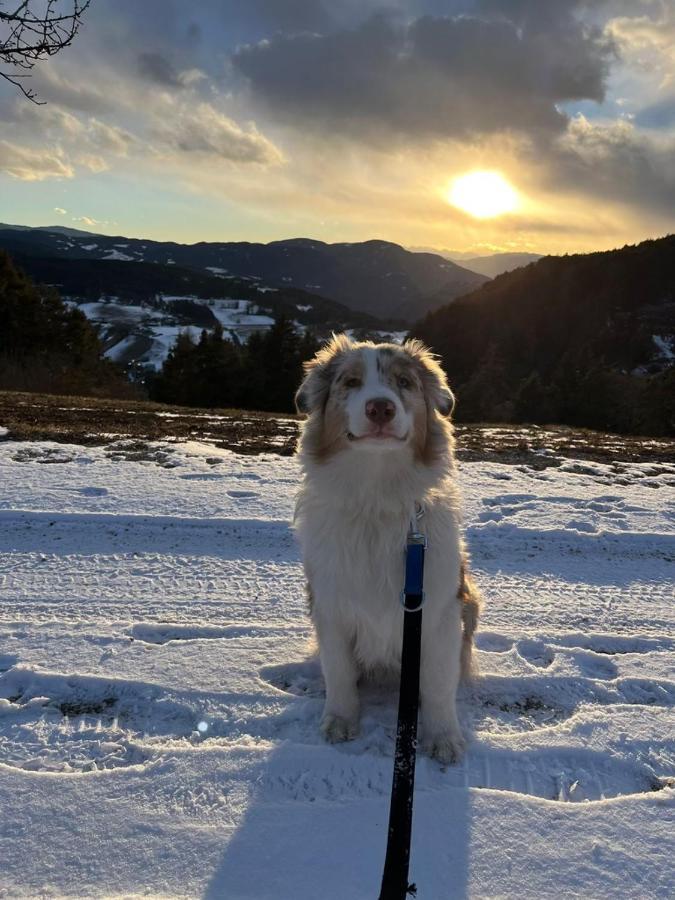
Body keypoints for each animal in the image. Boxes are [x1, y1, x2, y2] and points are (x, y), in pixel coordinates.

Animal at [294, 334, 480, 764]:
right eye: (350, 382)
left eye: (404, 383)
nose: (380, 407)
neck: (376, 496)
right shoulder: (330, 602)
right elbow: (339, 671)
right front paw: (340, 720)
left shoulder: (442, 610)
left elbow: (439, 685)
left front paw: (443, 737)